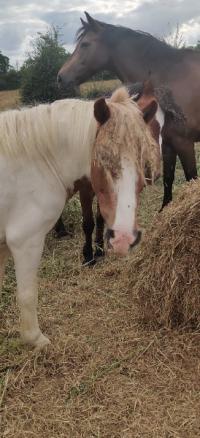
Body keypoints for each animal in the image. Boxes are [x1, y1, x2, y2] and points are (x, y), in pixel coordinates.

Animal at [0, 86, 159, 350]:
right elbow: (27, 294)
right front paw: (35, 339)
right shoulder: (26, 241)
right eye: (103, 160)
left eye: (141, 160)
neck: (38, 163)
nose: (123, 238)